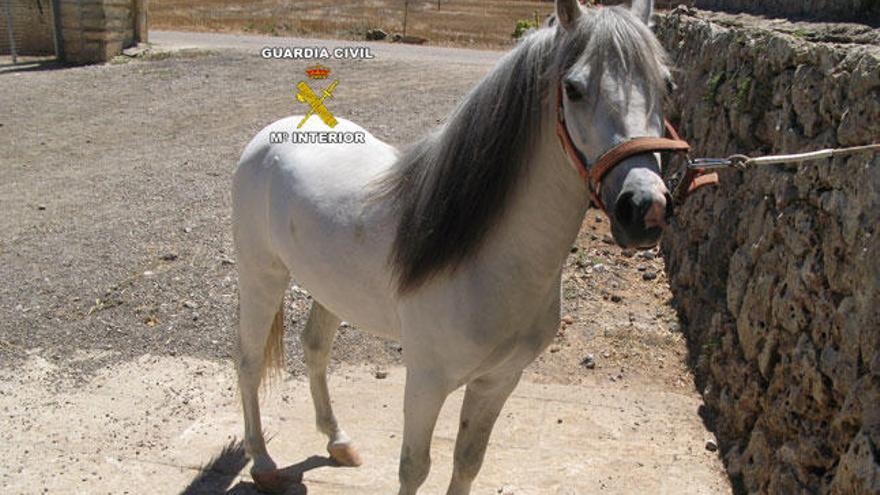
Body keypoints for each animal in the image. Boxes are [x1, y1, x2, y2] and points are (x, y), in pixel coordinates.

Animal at [232, 1, 672, 494]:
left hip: (329, 290)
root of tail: (271, 134)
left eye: (667, 86)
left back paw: (338, 441)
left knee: (314, 349)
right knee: (249, 362)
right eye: (574, 89)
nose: (645, 208)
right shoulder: (427, 382)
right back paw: (263, 462)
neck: (490, 261)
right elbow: (414, 467)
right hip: (261, 277)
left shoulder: (498, 381)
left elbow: (467, 462)